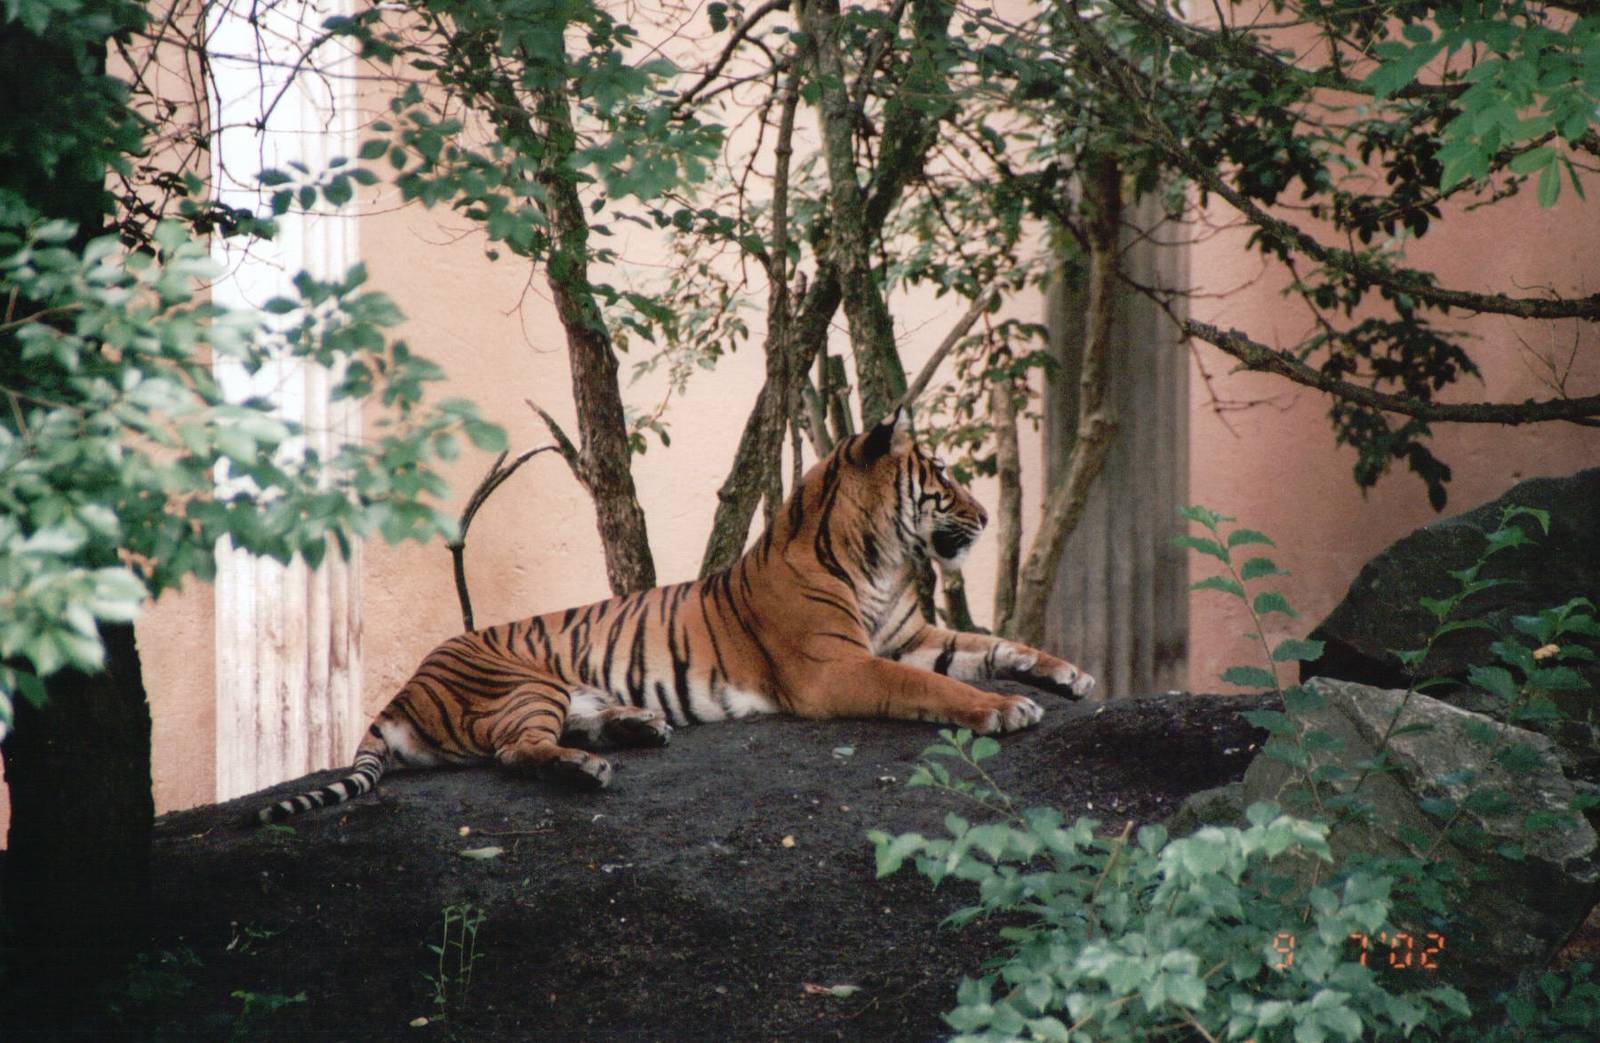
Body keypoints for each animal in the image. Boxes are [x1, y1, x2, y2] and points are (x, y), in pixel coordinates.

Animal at [256, 407, 1094, 823]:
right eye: (941, 476)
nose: (984, 517)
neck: (881, 563)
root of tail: (400, 691)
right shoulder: (839, 666)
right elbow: (934, 686)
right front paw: (1003, 710)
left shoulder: (910, 635)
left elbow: (994, 644)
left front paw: (1068, 675)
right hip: (521, 682)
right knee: (513, 751)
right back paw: (587, 767)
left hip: (565, 689)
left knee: (563, 728)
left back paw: (639, 725)